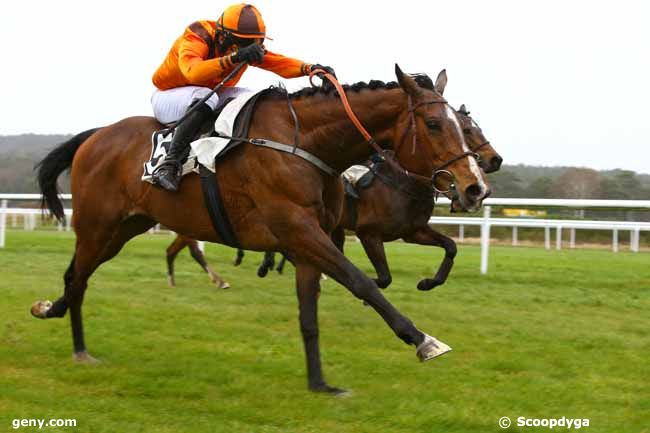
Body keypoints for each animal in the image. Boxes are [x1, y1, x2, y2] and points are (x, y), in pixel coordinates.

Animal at [31, 66, 486, 394]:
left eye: (464, 127)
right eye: (433, 124)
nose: (475, 186)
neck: (305, 144)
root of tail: (96, 136)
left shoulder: (308, 242)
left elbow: (309, 315)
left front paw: (319, 383)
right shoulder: (303, 230)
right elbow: (362, 282)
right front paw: (422, 339)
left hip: (124, 228)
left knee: (77, 276)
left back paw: (52, 311)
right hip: (98, 227)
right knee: (79, 278)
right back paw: (78, 347)